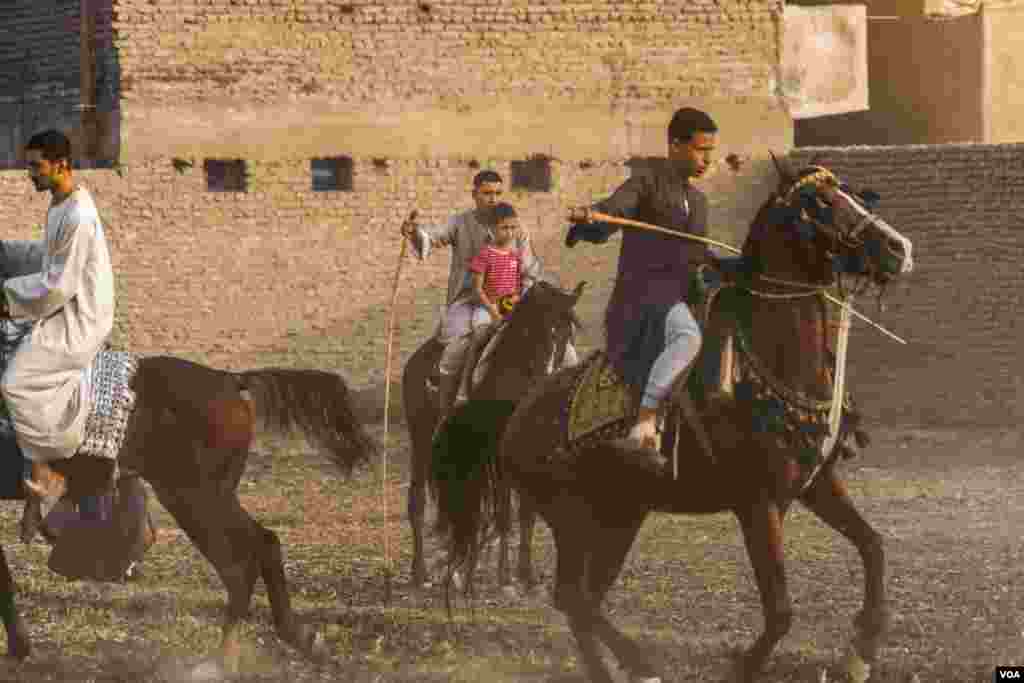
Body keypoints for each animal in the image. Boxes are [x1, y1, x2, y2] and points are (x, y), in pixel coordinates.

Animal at [0, 356, 378, 675]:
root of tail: (229, 380)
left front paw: (20, 647)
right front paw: (20, 646)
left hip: (197, 497)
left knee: (256, 549)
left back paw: (232, 658)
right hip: (196, 498)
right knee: (244, 561)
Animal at [399, 278, 581, 589]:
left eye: (567, 333)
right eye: (540, 330)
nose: (547, 378)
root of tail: (416, 361)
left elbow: (526, 513)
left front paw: (525, 574)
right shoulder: (498, 454)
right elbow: (506, 513)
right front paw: (504, 576)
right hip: (422, 440)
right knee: (418, 501)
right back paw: (421, 572)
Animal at [430, 161, 913, 683]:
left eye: (849, 191)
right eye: (820, 202)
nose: (898, 248)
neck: (772, 359)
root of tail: (517, 413)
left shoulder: (815, 483)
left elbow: (874, 547)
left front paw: (860, 652)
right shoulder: (757, 503)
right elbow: (781, 612)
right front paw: (746, 669)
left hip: (621, 515)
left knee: (583, 600)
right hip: (571, 517)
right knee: (575, 598)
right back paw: (637, 664)